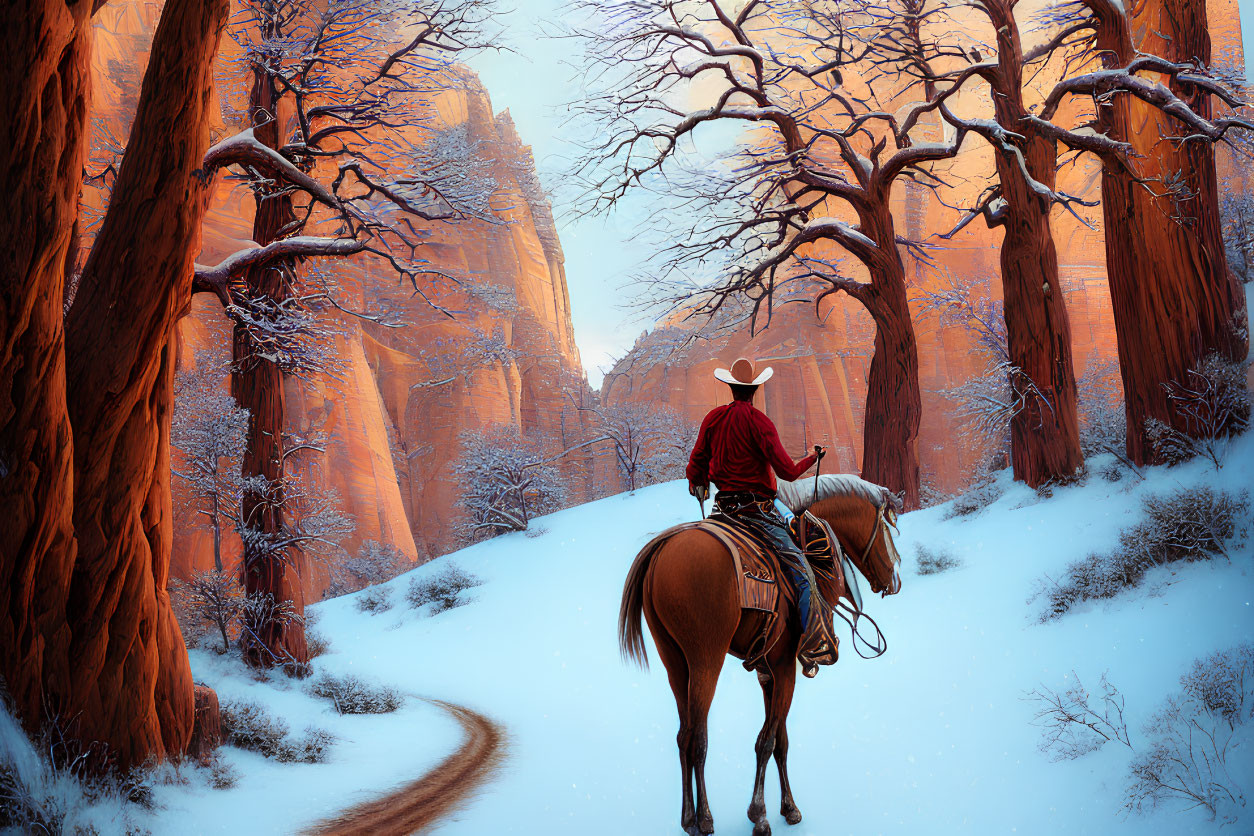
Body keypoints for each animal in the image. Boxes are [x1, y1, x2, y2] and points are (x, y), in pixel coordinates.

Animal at [621, 476, 907, 836]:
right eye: (889, 528)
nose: (895, 580)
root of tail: (662, 550)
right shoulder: (785, 667)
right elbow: (767, 741)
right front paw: (759, 814)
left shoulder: (768, 670)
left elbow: (780, 739)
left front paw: (789, 808)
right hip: (705, 659)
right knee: (699, 737)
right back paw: (705, 819)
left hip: (674, 661)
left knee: (684, 735)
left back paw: (688, 819)